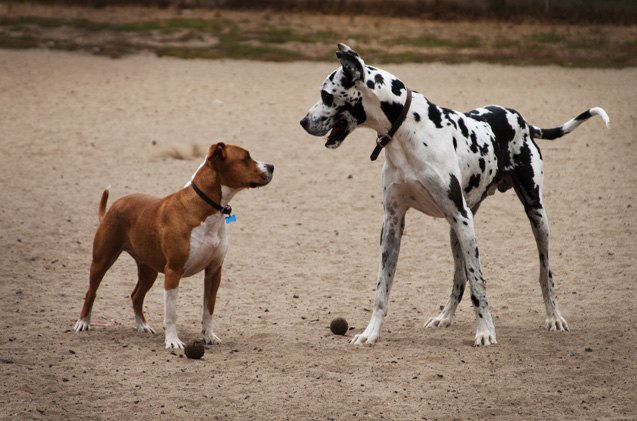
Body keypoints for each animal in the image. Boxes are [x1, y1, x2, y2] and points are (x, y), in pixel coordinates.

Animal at [74, 143, 274, 346]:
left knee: (136, 296)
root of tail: (113, 206)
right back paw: (83, 323)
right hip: (102, 260)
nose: (272, 166)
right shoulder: (173, 272)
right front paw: (172, 341)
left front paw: (209, 336)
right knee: (91, 292)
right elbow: (171, 314)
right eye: (246, 158)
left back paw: (142, 326)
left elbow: (208, 310)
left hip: (148, 270)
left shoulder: (214, 272)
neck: (205, 208)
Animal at [300, 43, 608, 344]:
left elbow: (478, 282)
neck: (407, 131)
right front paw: (370, 333)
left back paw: (554, 316)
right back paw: (444, 317)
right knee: (458, 280)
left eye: (325, 94)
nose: (303, 121)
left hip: (534, 218)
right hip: (456, 232)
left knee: (545, 274)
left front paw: (485, 332)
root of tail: (521, 119)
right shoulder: (393, 224)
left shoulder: (462, 219)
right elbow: (382, 288)